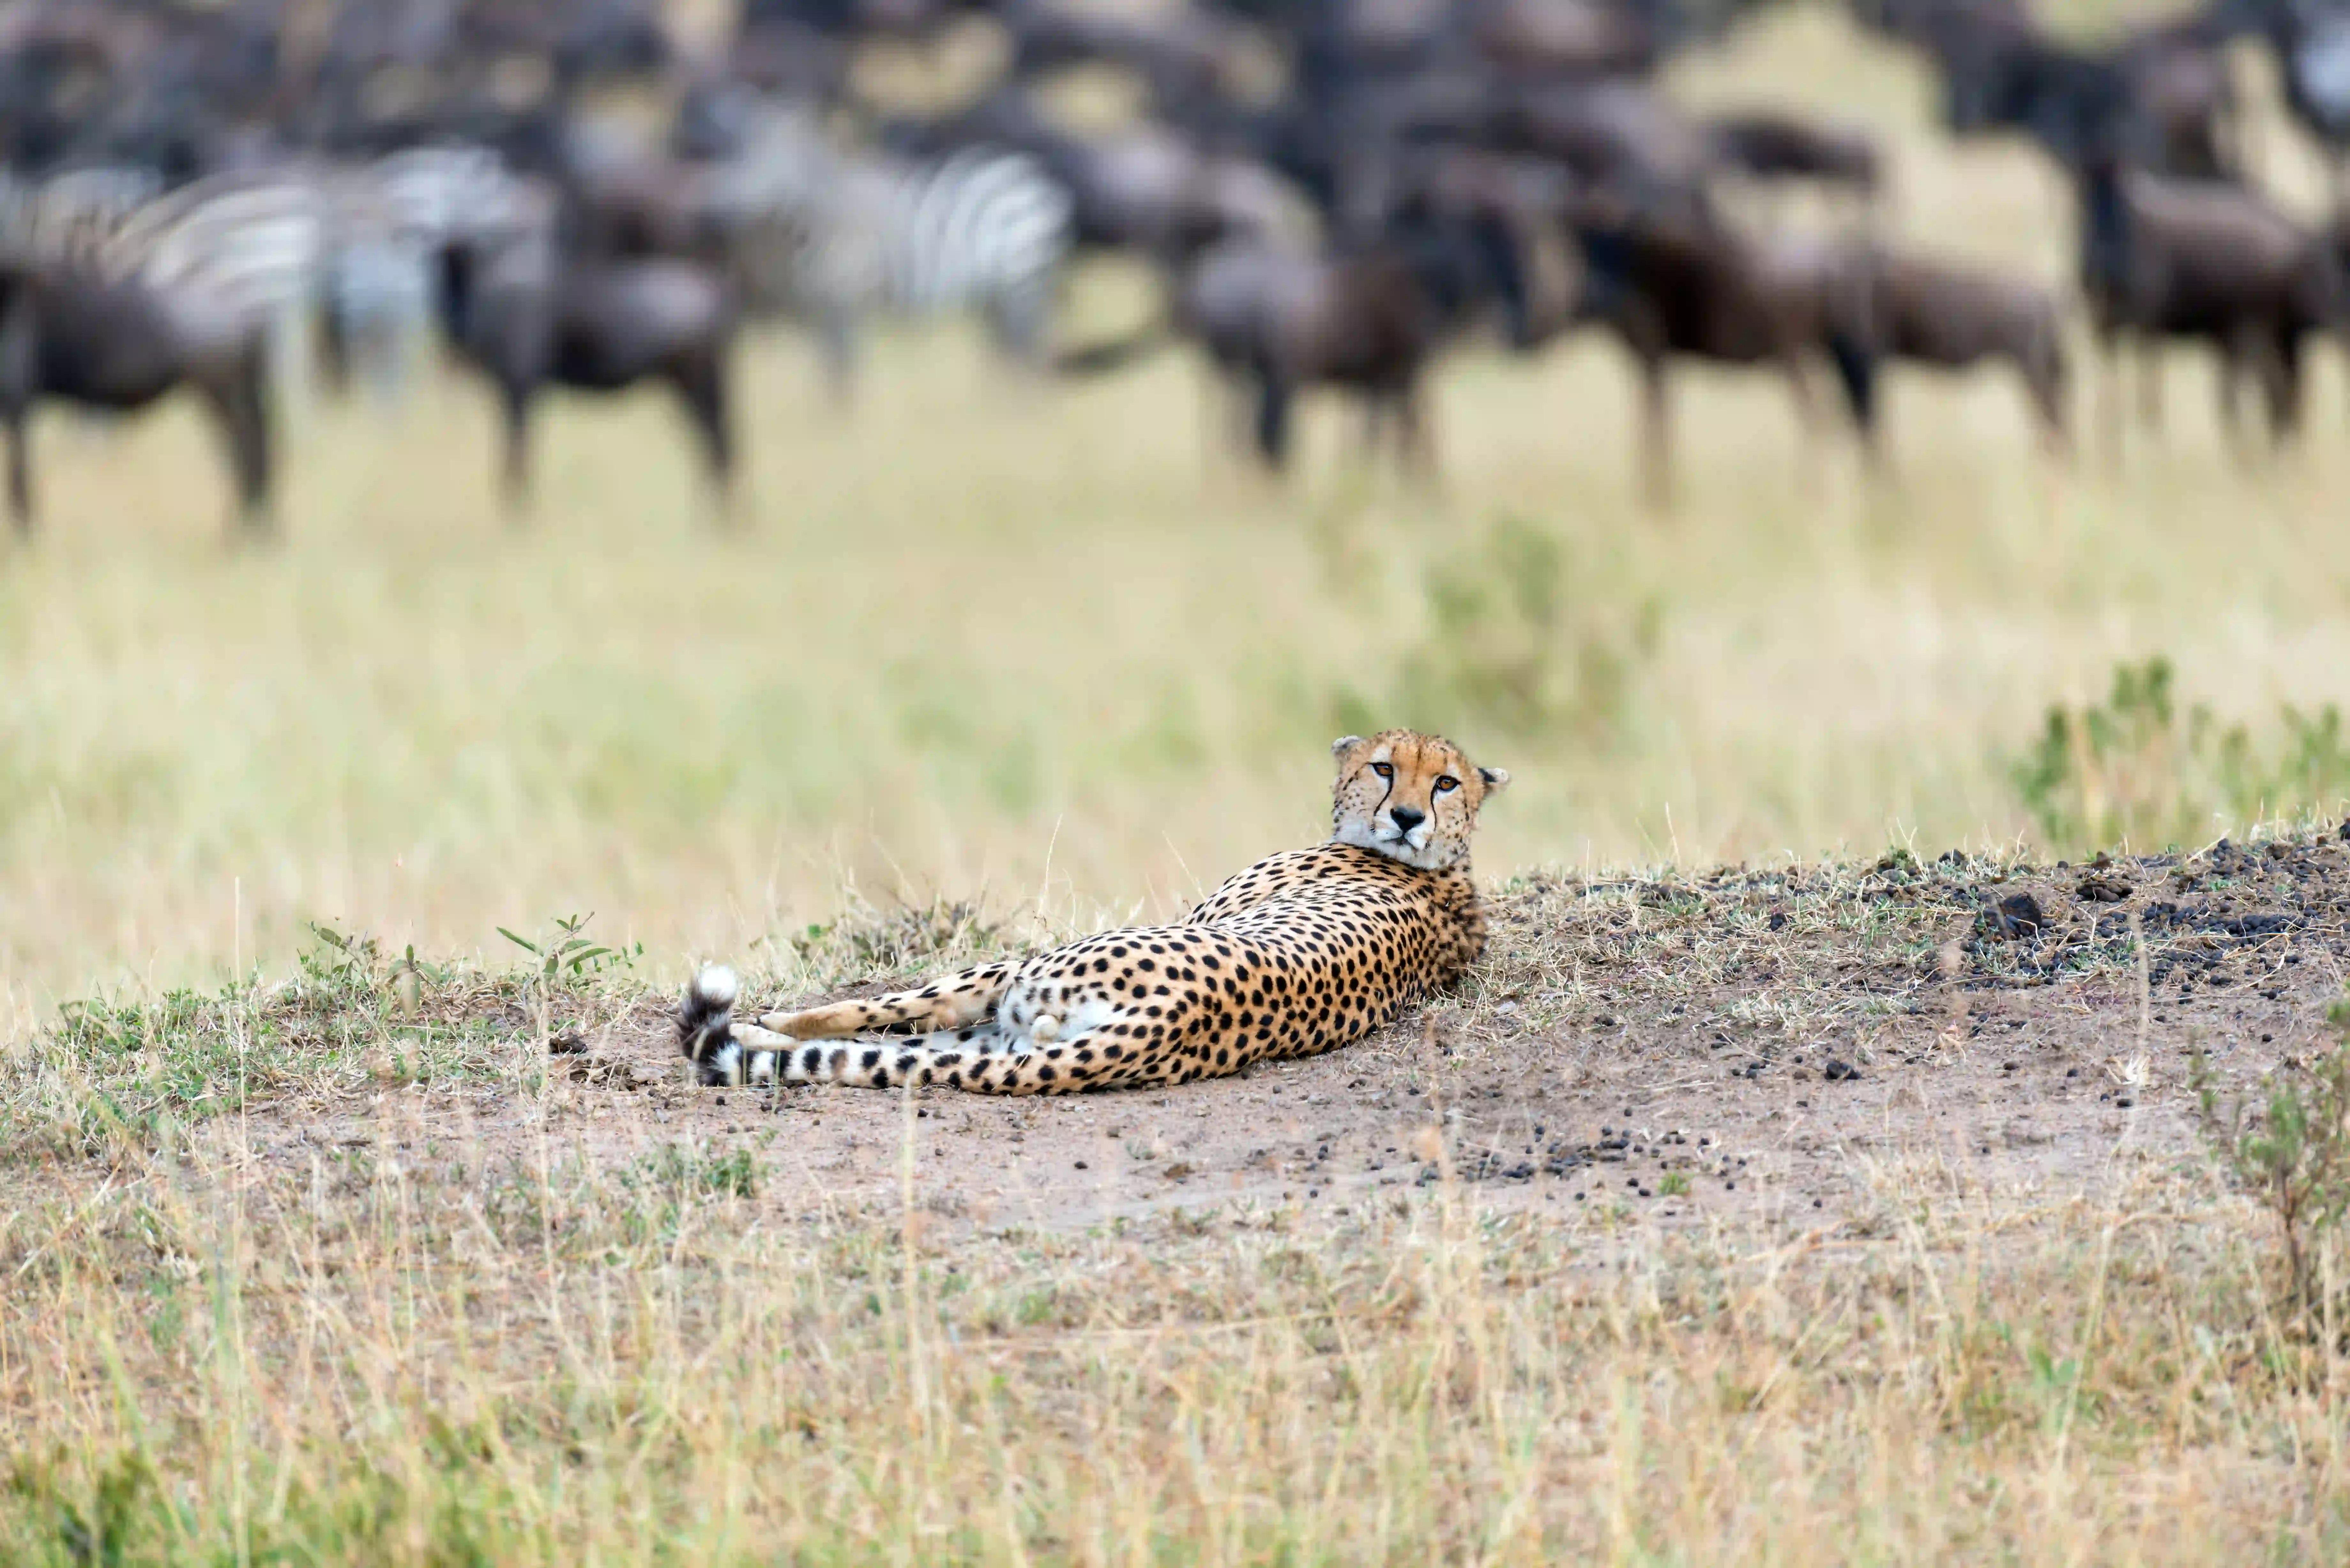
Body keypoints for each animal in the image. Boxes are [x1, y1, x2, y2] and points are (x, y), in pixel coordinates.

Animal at [676, 728, 1508, 1095]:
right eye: (1384, 768)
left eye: (1445, 782)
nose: (1406, 816)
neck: (1445, 869)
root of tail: (1174, 1016)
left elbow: (882, 1006)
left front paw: (773, 1017)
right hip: (1021, 1032)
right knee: (921, 1048)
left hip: (1029, 978)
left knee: (895, 1019)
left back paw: (753, 1027)